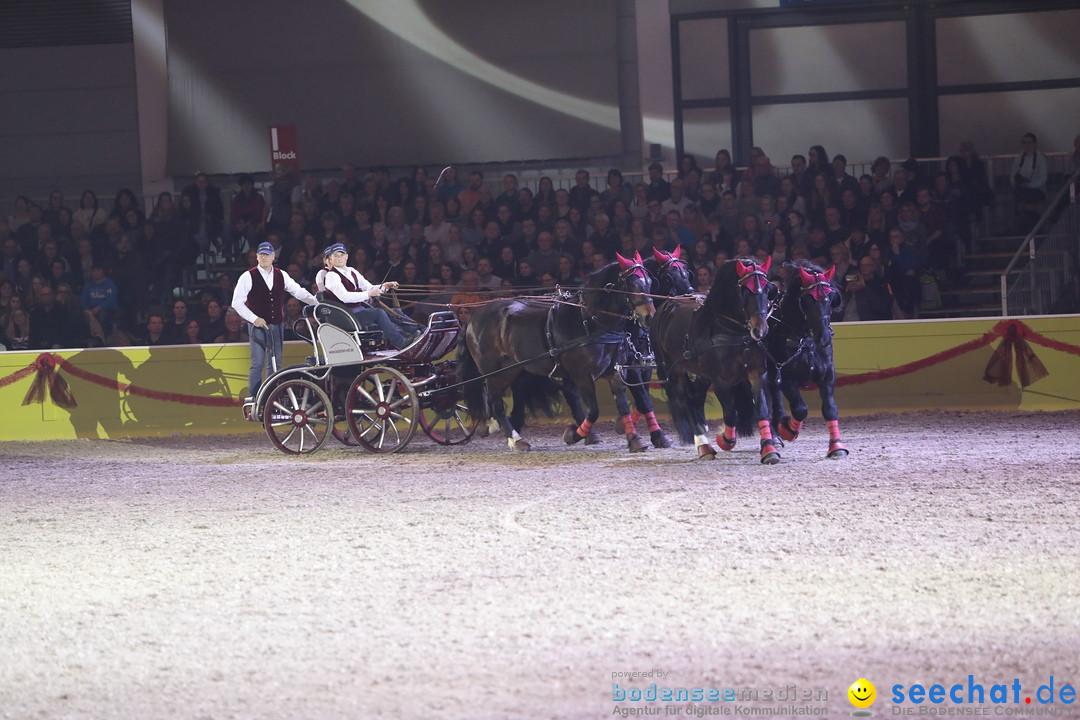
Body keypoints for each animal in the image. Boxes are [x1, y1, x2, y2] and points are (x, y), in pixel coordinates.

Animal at [457, 254, 652, 451]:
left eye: (650, 282)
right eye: (633, 284)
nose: (649, 316)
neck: (589, 321)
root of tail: (473, 316)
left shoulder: (615, 372)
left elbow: (623, 405)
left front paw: (635, 439)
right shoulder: (582, 376)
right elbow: (593, 411)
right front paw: (574, 435)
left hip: (510, 369)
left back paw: (491, 426)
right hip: (494, 371)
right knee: (496, 402)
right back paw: (516, 439)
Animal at [648, 255, 777, 464]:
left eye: (768, 289)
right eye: (744, 291)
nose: (760, 330)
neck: (733, 332)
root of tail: (665, 306)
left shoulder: (756, 374)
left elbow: (762, 410)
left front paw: (769, 449)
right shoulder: (719, 380)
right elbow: (731, 413)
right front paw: (724, 439)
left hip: (701, 373)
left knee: (696, 396)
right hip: (672, 369)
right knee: (685, 400)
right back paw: (703, 445)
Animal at [764, 262, 846, 459]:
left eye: (830, 299)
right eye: (807, 300)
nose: (824, 337)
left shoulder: (827, 375)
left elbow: (830, 408)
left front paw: (836, 446)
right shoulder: (786, 377)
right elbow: (800, 409)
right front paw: (788, 430)